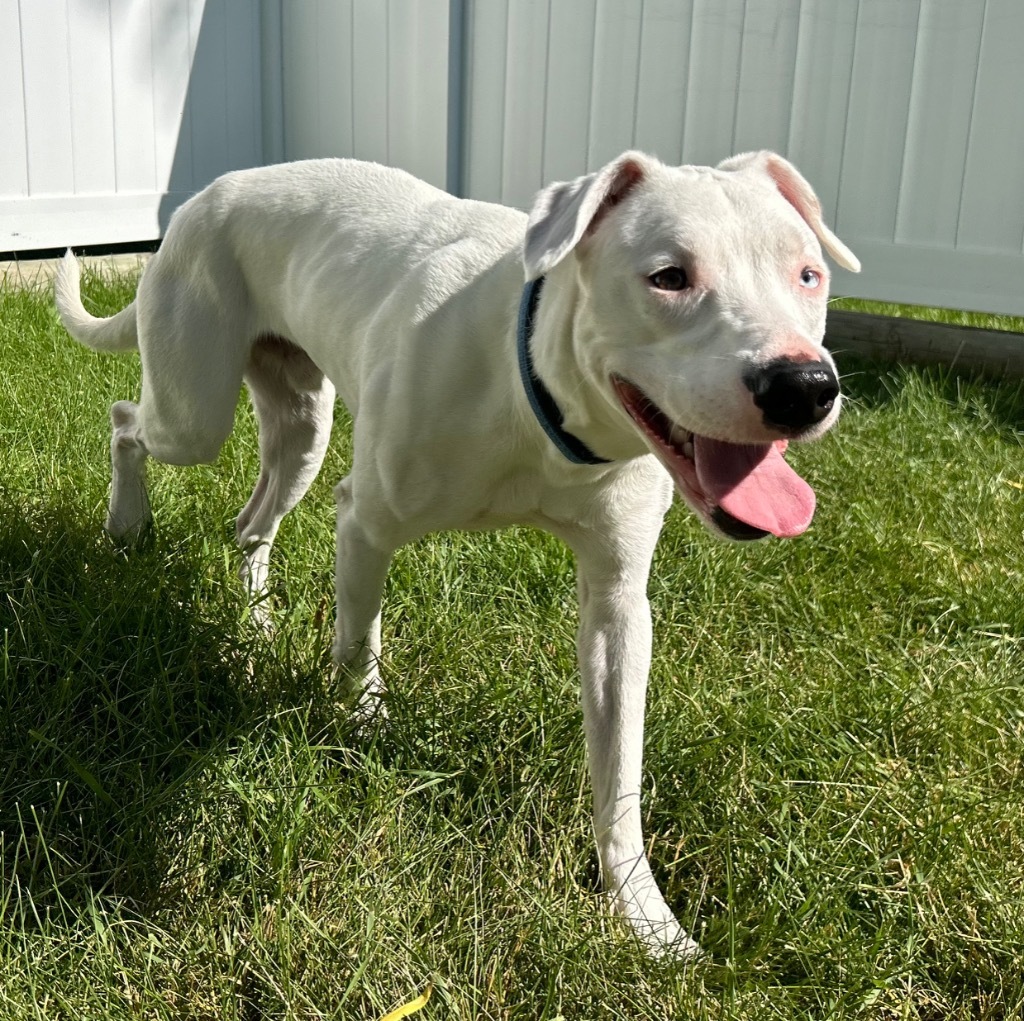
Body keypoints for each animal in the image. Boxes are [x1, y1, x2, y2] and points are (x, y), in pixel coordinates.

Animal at [56, 151, 856, 954]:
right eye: (668, 277)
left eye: (808, 274)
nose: (803, 385)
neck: (534, 394)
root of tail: (206, 195)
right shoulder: (365, 523)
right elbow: (358, 648)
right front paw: (362, 729)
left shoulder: (617, 605)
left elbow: (619, 768)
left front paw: (644, 914)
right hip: (194, 409)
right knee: (128, 421)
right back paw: (126, 525)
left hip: (299, 427)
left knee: (251, 523)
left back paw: (254, 623)